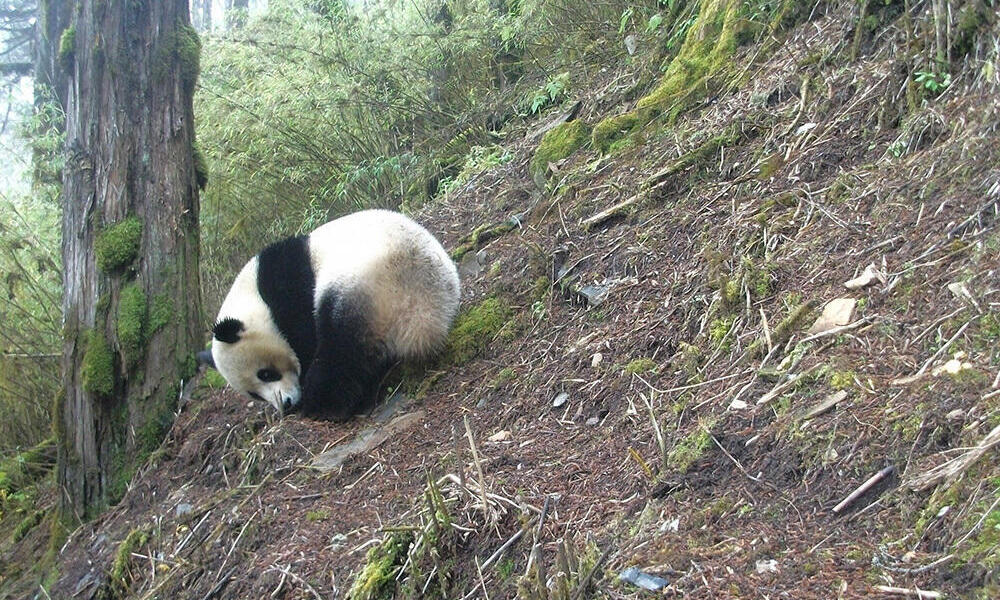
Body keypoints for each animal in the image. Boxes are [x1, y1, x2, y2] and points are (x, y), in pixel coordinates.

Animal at [203, 211, 460, 422]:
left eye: (266, 374)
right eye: (254, 394)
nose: (287, 404)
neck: (254, 297)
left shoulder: (290, 294)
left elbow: (304, 338)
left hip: (363, 285)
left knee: (342, 349)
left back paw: (323, 404)